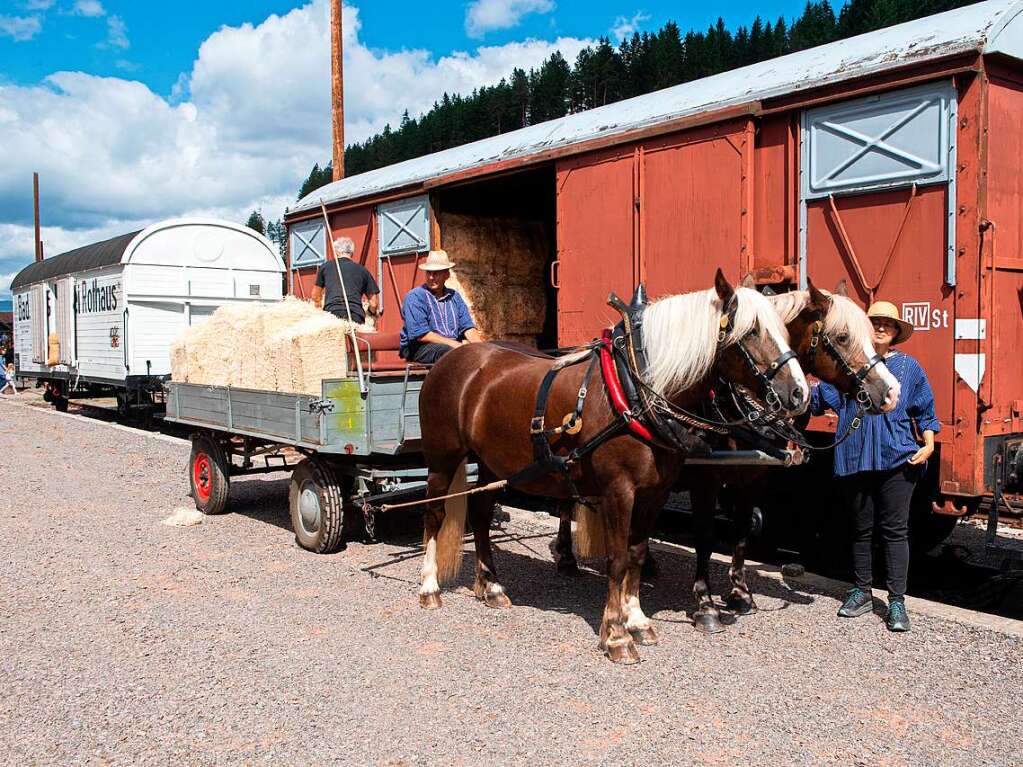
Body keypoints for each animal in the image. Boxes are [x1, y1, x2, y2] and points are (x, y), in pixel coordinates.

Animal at [413, 272, 806, 666]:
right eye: (752, 331)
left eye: (783, 330)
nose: (799, 393)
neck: (638, 393)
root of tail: (454, 359)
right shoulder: (620, 491)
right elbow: (617, 559)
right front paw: (616, 634)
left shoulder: (655, 493)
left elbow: (636, 553)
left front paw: (637, 620)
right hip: (442, 457)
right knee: (433, 514)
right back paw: (430, 587)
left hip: (492, 463)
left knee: (480, 515)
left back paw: (490, 585)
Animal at [556, 280, 900, 634]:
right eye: (843, 337)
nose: (891, 392)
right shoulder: (705, 478)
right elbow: (705, 536)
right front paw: (705, 603)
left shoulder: (753, 477)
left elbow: (742, 532)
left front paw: (740, 593)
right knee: (566, 501)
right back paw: (567, 556)